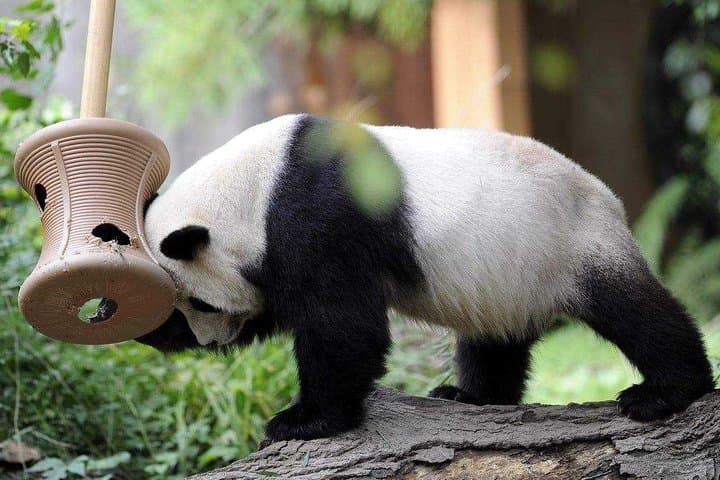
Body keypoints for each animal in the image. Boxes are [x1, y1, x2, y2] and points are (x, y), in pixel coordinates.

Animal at [138, 113, 714, 442]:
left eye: (205, 304)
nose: (211, 340)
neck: (254, 184)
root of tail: (612, 201)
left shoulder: (318, 217)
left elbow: (342, 325)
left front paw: (305, 421)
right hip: (507, 278)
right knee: (494, 340)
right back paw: (471, 396)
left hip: (571, 245)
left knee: (637, 313)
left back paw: (665, 392)